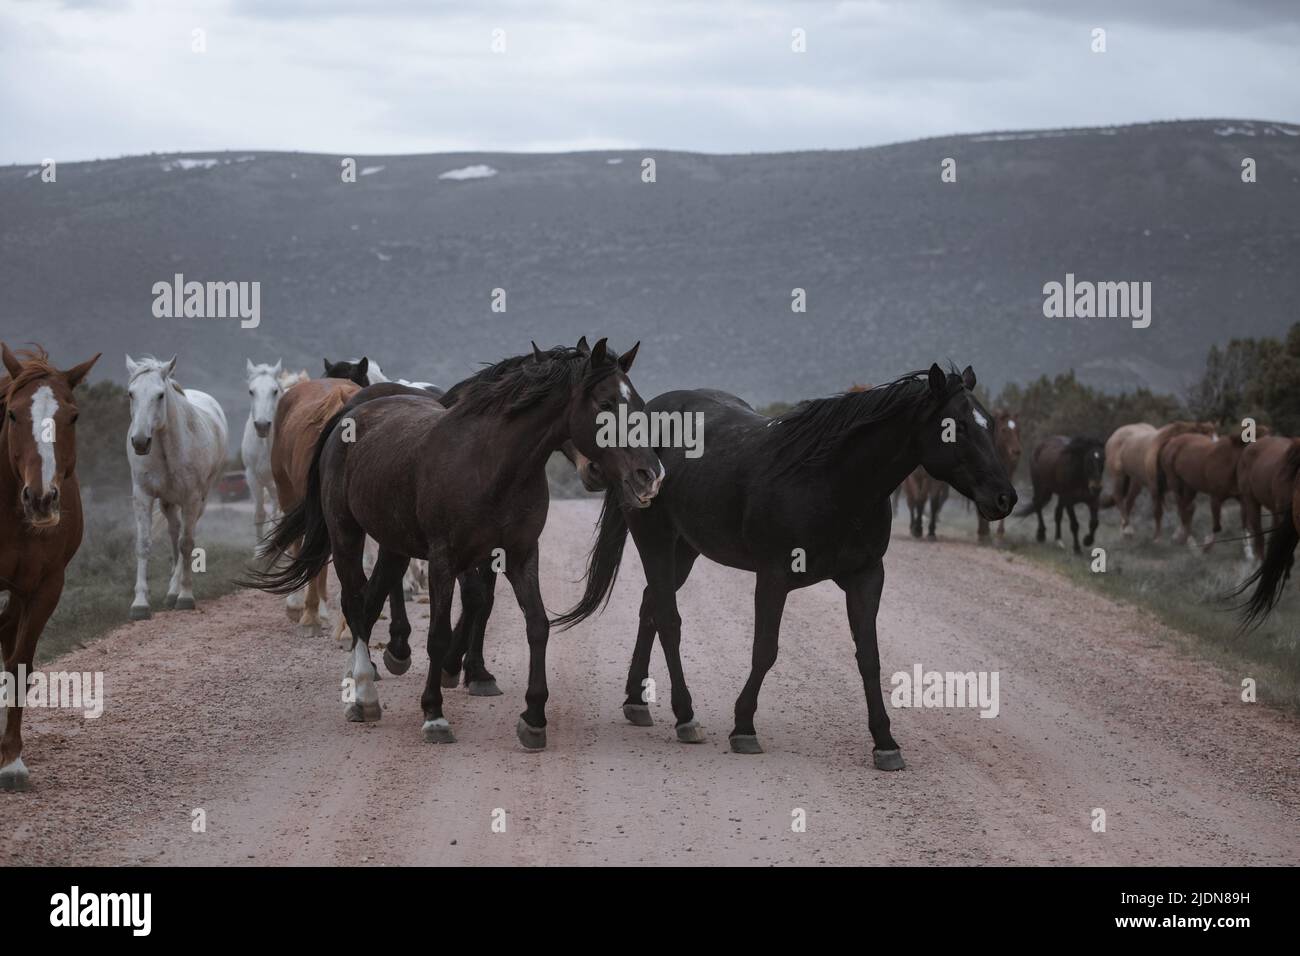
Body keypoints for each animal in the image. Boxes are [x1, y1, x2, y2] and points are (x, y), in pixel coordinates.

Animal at [125, 356, 228, 619]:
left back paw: (176, 593)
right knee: (174, 532)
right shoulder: (143, 496)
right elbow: (144, 544)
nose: (140, 442)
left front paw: (186, 596)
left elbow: (187, 544)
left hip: (200, 500)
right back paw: (171, 591)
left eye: (160, 395)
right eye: (131, 393)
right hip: (168, 501)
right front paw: (140, 604)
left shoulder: (191, 499)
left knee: (183, 539)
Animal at [554, 364, 1016, 770]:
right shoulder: (773, 578)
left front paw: (885, 742)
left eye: (990, 424)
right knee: (667, 618)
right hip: (655, 540)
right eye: (955, 427)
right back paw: (685, 716)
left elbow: (869, 657)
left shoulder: (867, 577)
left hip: (685, 550)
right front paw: (743, 726)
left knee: (651, 605)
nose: (1004, 498)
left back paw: (636, 701)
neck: (832, 482)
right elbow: (765, 650)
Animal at [977, 411, 1021, 539]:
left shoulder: (1009, 475)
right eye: (1004, 430)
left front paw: (999, 532)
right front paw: (983, 532)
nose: (1016, 451)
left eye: (1019, 429)